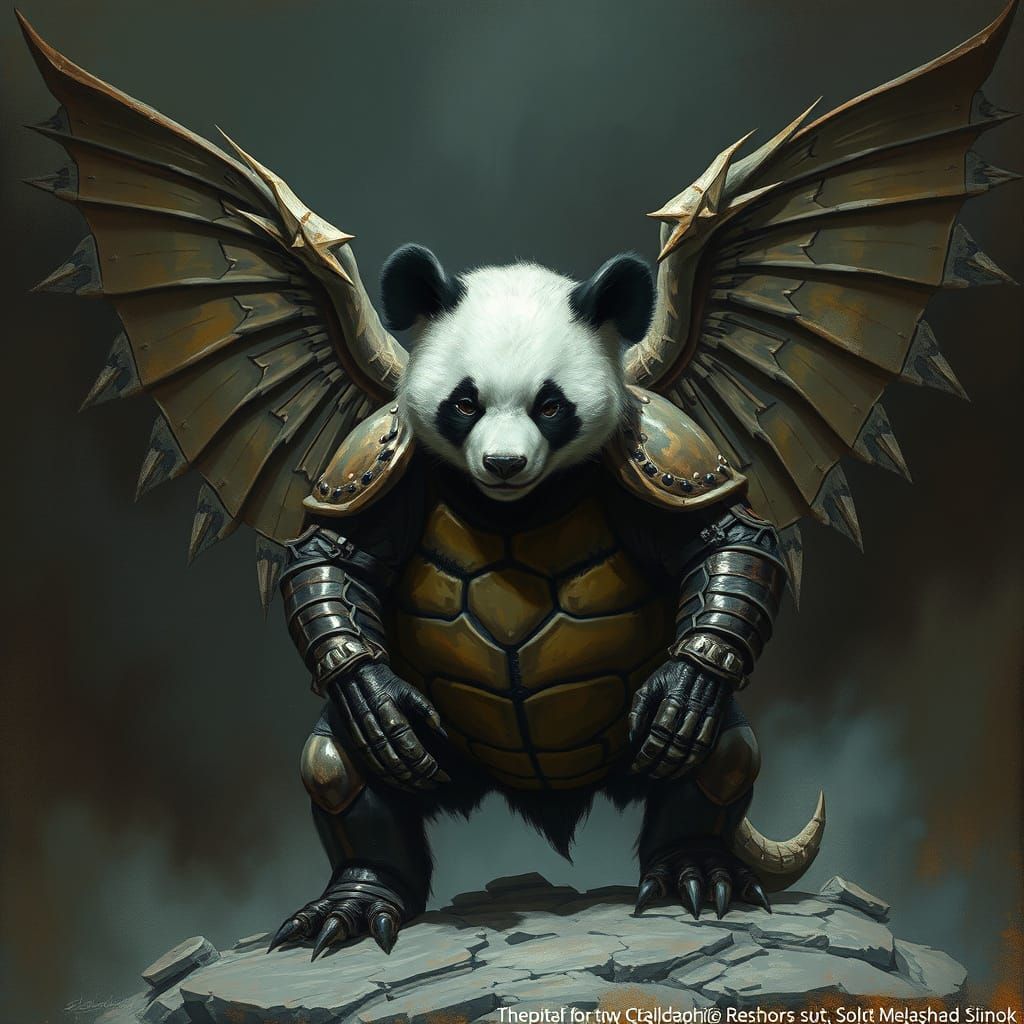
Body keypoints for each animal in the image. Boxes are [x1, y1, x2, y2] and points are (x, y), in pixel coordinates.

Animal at [272, 244, 821, 959]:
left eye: (551, 406)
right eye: (465, 402)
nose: (504, 464)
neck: (514, 505)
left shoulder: (660, 453)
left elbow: (728, 540)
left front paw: (686, 685)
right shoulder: (378, 461)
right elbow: (331, 556)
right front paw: (376, 697)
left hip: (624, 737)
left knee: (721, 751)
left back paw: (694, 872)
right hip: (448, 745)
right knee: (338, 760)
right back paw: (358, 903)